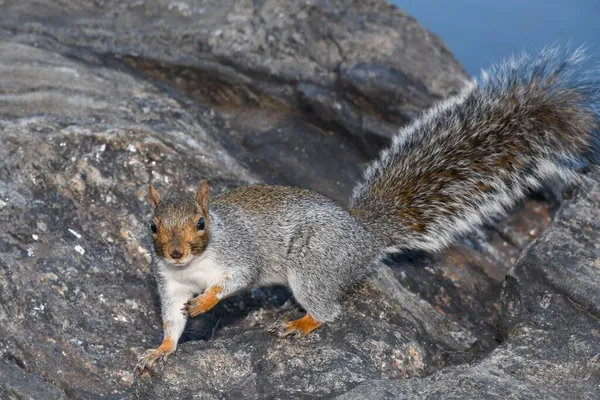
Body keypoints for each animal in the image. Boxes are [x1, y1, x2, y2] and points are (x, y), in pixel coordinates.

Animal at [137, 47, 600, 376]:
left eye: (201, 223)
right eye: (153, 226)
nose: (176, 253)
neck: (193, 266)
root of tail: (364, 234)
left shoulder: (238, 253)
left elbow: (235, 279)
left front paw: (206, 302)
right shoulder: (170, 283)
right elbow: (171, 321)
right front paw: (160, 350)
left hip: (312, 265)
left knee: (329, 310)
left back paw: (301, 323)